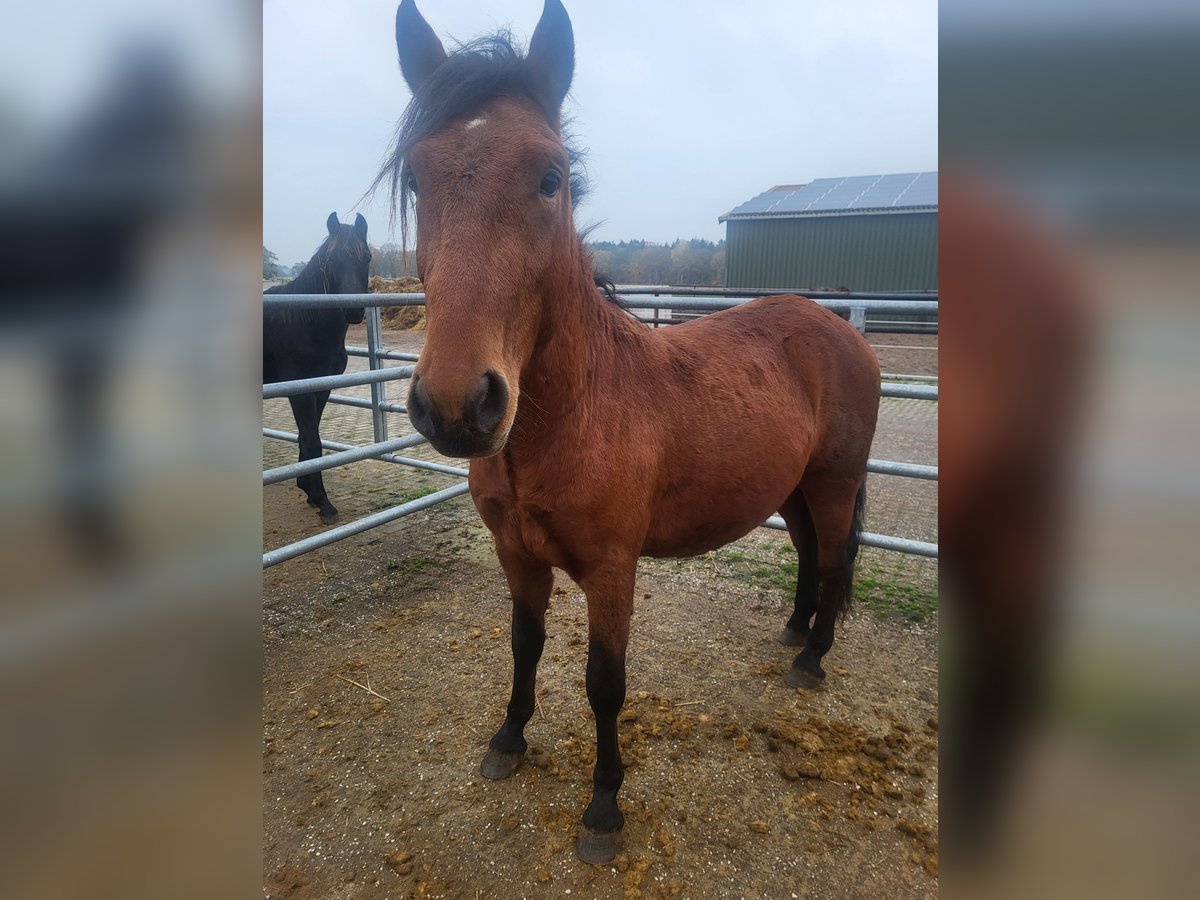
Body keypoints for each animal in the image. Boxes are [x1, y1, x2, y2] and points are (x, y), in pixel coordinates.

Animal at [264, 212, 367, 520]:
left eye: (367, 257)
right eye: (331, 259)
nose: (353, 309)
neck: (304, 321)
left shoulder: (321, 389)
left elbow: (307, 437)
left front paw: (308, 490)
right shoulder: (299, 392)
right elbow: (312, 440)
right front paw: (323, 501)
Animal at [384, 0, 883, 868]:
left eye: (551, 177)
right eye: (417, 177)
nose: (456, 403)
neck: (575, 412)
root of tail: (838, 329)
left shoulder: (612, 570)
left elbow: (604, 683)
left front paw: (604, 806)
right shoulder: (517, 554)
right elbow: (523, 646)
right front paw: (509, 740)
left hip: (833, 481)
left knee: (834, 559)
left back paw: (813, 658)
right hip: (788, 487)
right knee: (809, 554)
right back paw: (791, 633)